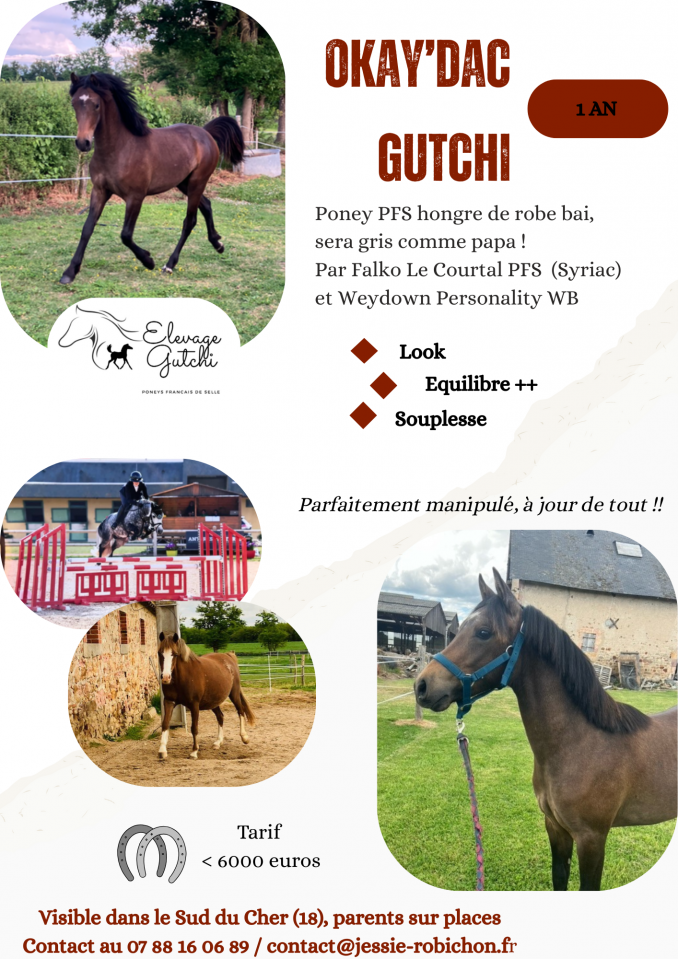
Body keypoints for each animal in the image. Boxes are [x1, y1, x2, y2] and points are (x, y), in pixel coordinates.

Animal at [60, 72, 245, 285]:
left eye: (96, 105)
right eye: (74, 103)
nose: (83, 143)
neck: (120, 149)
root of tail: (206, 133)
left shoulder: (135, 197)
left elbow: (125, 235)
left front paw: (148, 261)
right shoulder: (100, 192)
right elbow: (87, 229)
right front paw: (69, 272)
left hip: (197, 182)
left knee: (189, 221)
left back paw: (169, 265)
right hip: (184, 183)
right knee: (206, 205)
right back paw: (217, 244)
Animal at [157, 632, 255, 761]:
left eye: (175, 654)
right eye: (160, 653)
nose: (165, 677)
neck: (182, 677)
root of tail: (228, 656)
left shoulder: (194, 704)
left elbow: (194, 728)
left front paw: (194, 752)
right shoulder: (169, 701)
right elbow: (165, 724)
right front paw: (162, 750)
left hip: (234, 694)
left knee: (240, 711)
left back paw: (244, 737)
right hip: (213, 701)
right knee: (220, 716)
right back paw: (218, 742)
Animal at [414, 568, 677, 891]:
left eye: (484, 632)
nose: (422, 686)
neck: (581, 745)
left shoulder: (592, 839)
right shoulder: (555, 828)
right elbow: (559, 878)